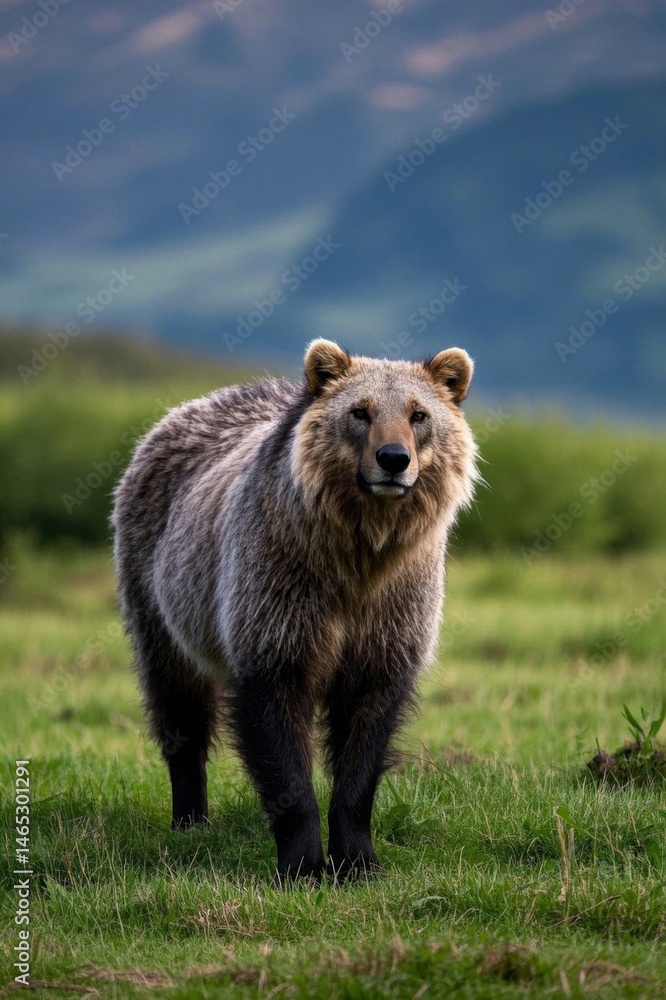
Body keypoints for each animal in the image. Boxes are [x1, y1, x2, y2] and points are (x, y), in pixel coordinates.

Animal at [113, 339, 478, 881]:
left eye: (419, 414)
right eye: (360, 411)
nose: (393, 459)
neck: (359, 552)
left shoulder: (391, 612)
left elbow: (365, 735)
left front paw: (358, 859)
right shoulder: (281, 598)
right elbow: (277, 725)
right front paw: (303, 863)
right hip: (160, 593)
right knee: (177, 703)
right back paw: (190, 817)